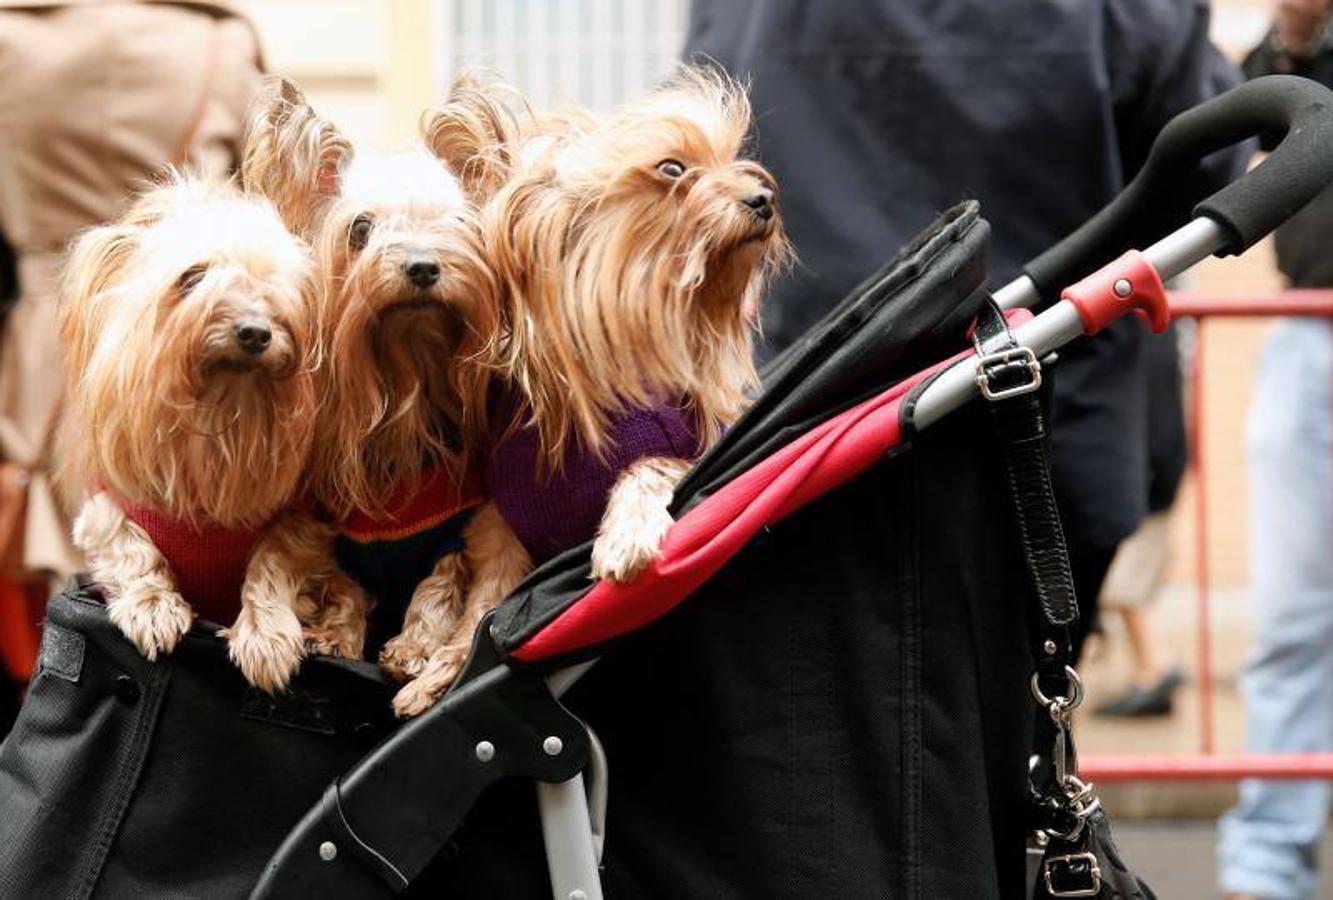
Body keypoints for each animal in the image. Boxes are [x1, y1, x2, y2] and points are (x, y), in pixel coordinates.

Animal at [60, 177, 367, 688]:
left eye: (275, 290)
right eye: (192, 277)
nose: (255, 331)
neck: (220, 412)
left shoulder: (301, 525)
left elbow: (274, 561)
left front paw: (266, 636)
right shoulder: (105, 513)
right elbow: (130, 549)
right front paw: (153, 608)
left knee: (351, 599)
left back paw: (332, 638)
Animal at [245, 77, 530, 720]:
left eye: (456, 225)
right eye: (361, 230)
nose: (421, 266)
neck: (406, 373)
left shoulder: (456, 529)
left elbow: (438, 589)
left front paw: (413, 649)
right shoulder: (338, 536)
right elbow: (347, 588)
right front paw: (335, 637)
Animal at [482, 67, 783, 581]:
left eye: (729, 159)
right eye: (672, 169)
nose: (762, 198)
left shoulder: (687, 452)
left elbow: (648, 468)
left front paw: (626, 536)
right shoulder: (502, 526)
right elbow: (490, 579)